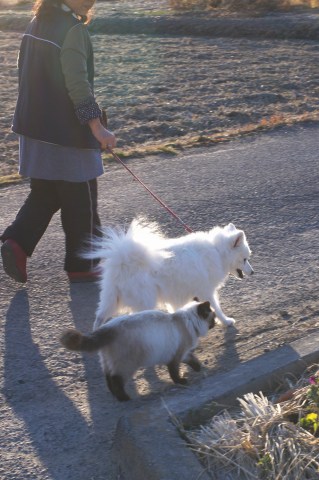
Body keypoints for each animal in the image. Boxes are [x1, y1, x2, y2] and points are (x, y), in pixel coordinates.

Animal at [90, 218, 255, 328]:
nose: (253, 272)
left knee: (100, 316)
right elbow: (216, 308)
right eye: (245, 259)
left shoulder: (177, 292)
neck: (217, 251)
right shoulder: (206, 291)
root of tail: (123, 261)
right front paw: (226, 321)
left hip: (111, 298)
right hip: (145, 300)